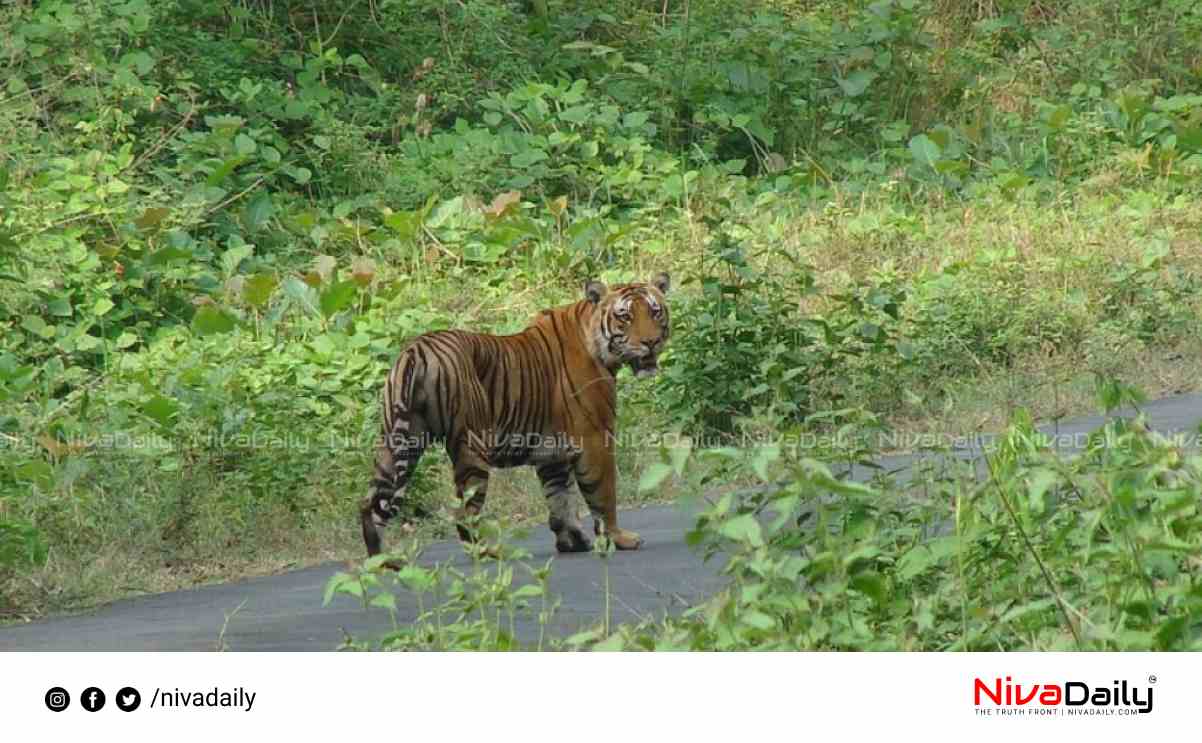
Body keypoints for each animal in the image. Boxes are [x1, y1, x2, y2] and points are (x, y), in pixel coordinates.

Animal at [360, 271, 673, 555]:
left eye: (655, 312)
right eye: (625, 317)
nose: (651, 342)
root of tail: (417, 350)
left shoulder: (552, 453)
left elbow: (560, 498)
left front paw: (572, 542)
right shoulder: (596, 437)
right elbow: (603, 495)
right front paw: (619, 539)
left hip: (398, 441)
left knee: (370, 504)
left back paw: (381, 563)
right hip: (470, 447)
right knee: (464, 511)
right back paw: (487, 551)